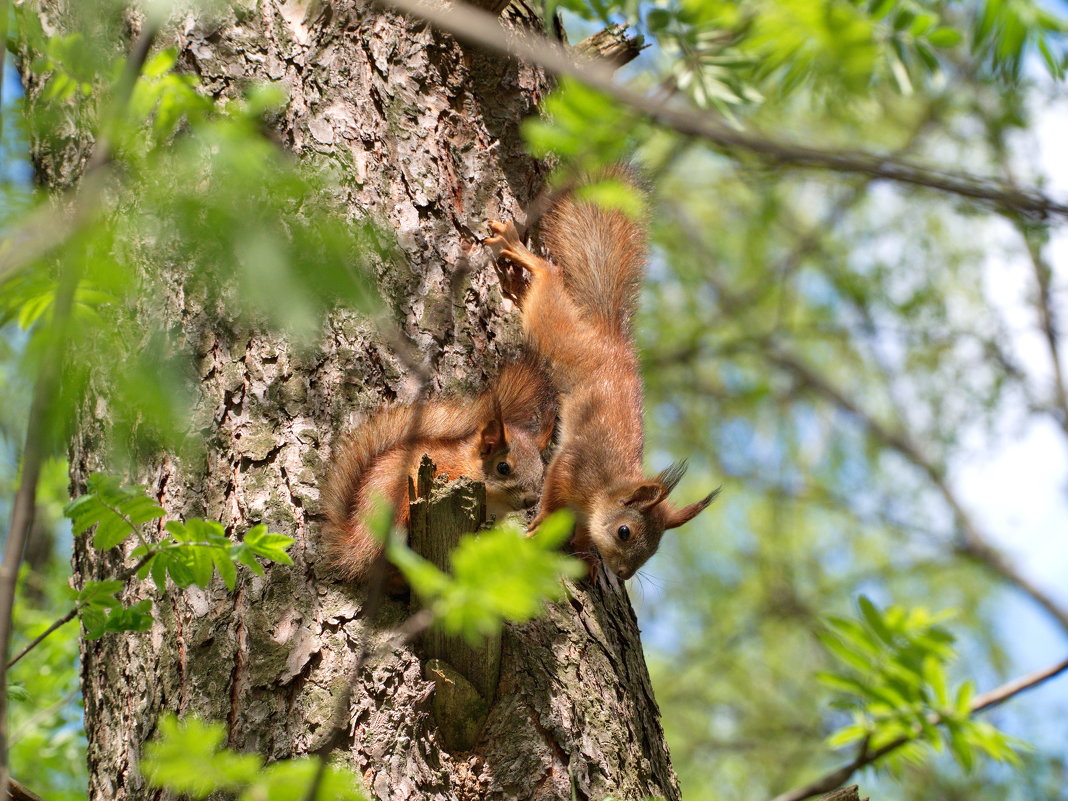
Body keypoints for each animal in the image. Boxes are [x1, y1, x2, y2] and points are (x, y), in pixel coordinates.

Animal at [489, 173, 721, 580]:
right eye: (624, 532)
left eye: (654, 550)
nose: (625, 575)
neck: (604, 489)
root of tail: (611, 341)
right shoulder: (572, 466)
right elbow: (553, 493)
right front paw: (543, 521)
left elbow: (582, 531)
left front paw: (585, 555)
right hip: (558, 334)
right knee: (549, 281)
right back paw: (520, 251)